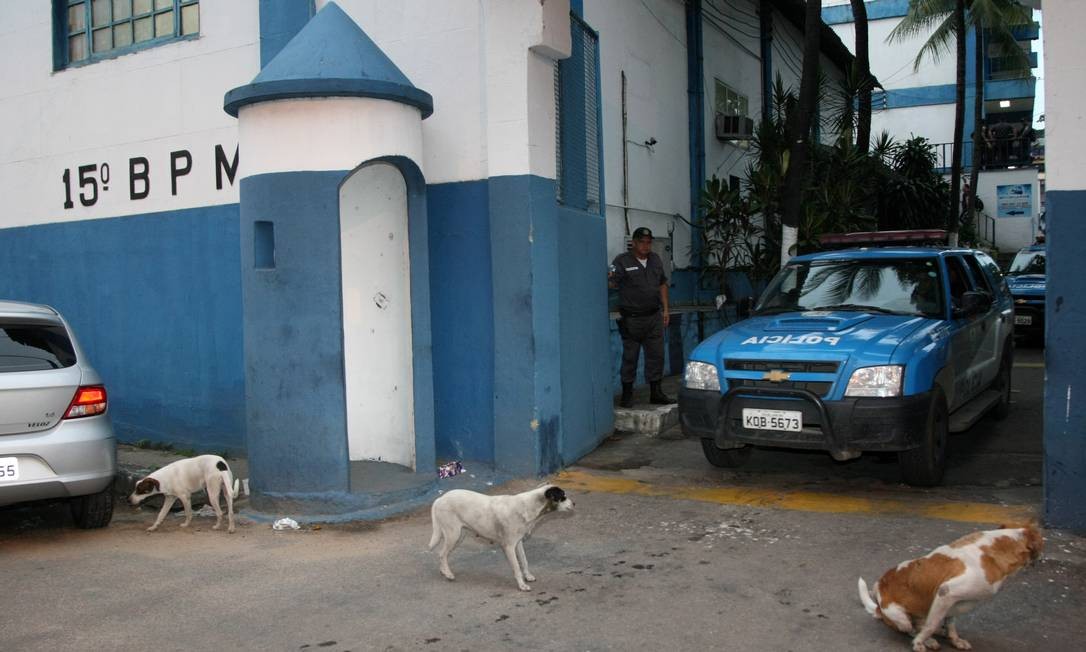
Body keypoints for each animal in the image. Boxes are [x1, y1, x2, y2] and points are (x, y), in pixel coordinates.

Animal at [425, 484, 573, 591]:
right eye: (563, 497)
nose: (574, 504)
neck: (528, 507)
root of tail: (440, 499)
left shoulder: (518, 543)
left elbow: (524, 561)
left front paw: (528, 576)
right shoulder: (509, 547)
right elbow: (517, 568)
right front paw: (521, 585)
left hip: (460, 535)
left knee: (442, 554)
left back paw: (443, 571)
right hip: (453, 535)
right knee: (442, 554)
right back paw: (448, 574)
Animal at [855, 523, 1042, 652]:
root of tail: (879, 608)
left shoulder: (952, 601)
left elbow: (949, 623)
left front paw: (954, 639)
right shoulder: (947, 592)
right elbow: (930, 625)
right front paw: (920, 642)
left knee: (925, 624)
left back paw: (939, 633)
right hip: (900, 618)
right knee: (911, 628)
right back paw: (927, 639)